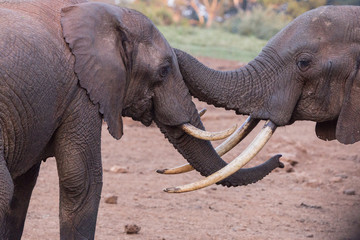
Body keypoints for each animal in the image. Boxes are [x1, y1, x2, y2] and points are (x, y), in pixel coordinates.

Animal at [0, 0, 284, 240]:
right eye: (164, 70)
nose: (280, 160)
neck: (108, 13)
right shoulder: (82, 92)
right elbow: (83, 183)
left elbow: (24, 187)